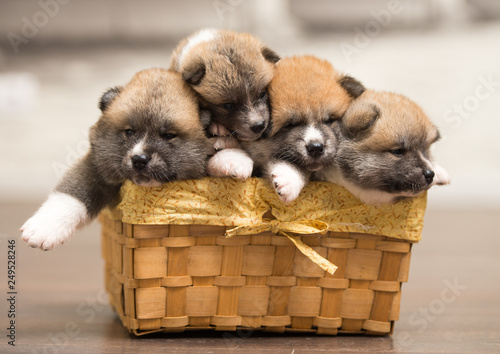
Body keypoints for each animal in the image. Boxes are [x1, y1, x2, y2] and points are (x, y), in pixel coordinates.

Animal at [20, 69, 209, 250]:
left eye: (169, 135)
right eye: (129, 131)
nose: (139, 159)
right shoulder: (96, 166)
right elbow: (71, 195)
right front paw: (43, 229)